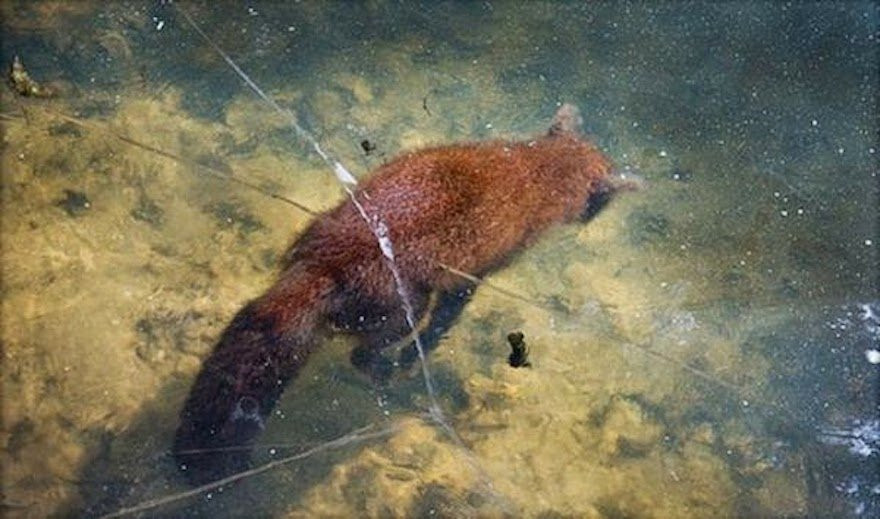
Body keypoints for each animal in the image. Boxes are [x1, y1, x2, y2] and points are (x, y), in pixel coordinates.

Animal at [173, 103, 639, 483]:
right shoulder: (470, 277)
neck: (531, 170)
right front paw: (418, 357)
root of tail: (323, 268)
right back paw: (389, 375)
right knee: (364, 355)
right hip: (400, 308)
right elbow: (441, 324)